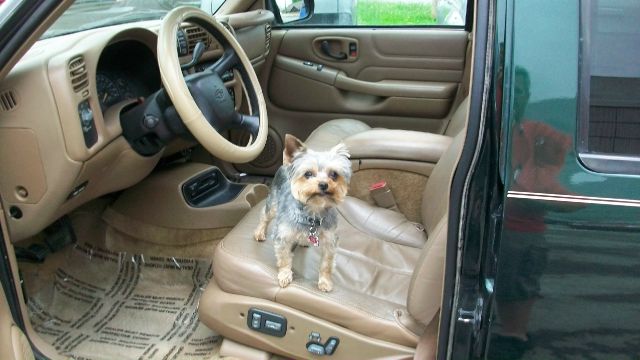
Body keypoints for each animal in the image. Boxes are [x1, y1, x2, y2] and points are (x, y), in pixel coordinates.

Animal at [254, 134, 352, 292]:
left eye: (334, 174)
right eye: (308, 174)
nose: (324, 184)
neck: (313, 212)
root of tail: (286, 165)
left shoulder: (330, 240)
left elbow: (327, 264)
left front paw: (325, 282)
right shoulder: (283, 235)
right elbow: (284, 258)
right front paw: (285, 275)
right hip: (274, 202)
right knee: (265, 214)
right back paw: (260, 232)